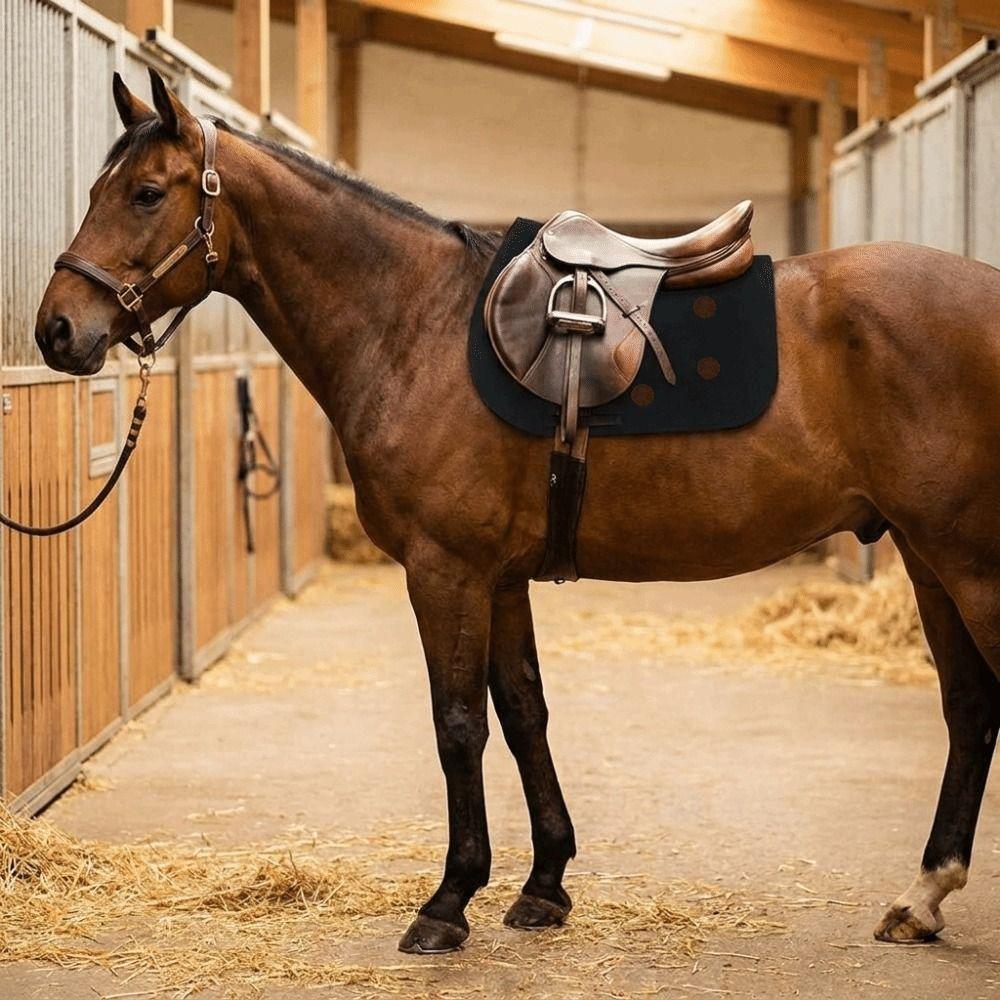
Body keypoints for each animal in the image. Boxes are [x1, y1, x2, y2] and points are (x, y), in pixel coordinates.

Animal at [33, 70, 1000, 954]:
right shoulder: (499, 579)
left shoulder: (445, 570)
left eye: (146, 193)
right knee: (968, 707)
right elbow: (524, 712)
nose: (57, 331)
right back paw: (921, 897)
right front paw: (543, 886)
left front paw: (448, 901)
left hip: (968, 564)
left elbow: (459, 725)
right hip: (926, 559)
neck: (412, 324)